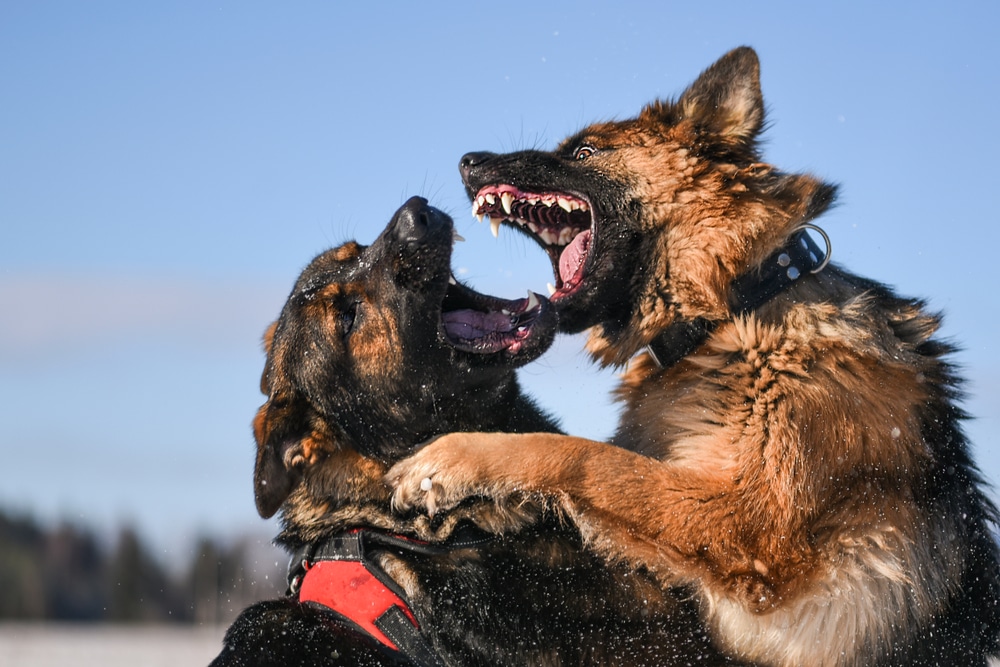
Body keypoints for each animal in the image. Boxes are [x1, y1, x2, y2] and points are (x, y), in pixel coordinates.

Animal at [386, 48, 1000, 667]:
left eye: (585, 152)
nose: (468, 161)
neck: (735, 309)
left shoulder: (751, 527)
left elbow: (587, 458)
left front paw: (449, 460)